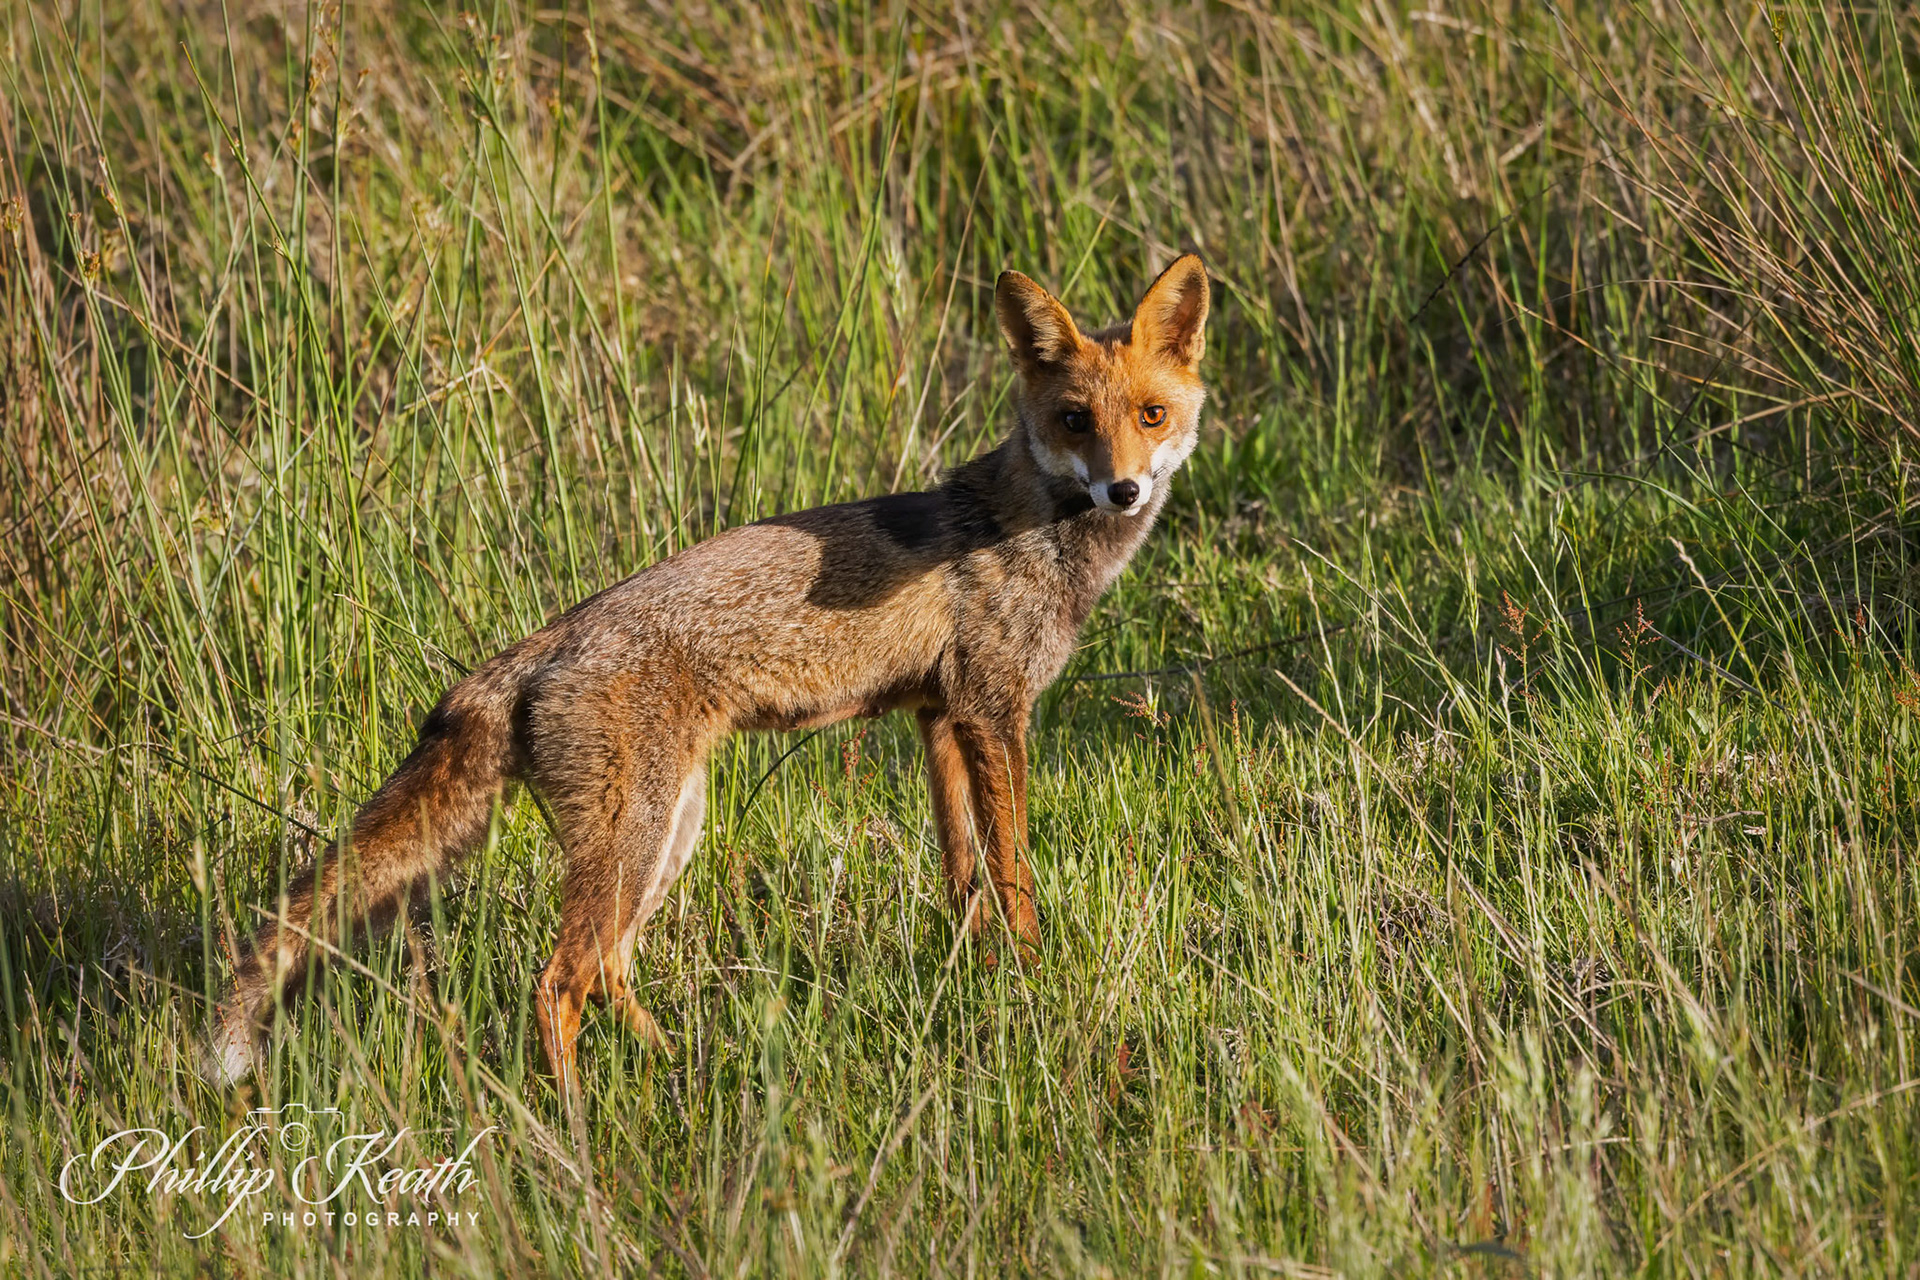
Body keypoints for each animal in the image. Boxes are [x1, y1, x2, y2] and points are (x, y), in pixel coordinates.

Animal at [208, 253, 1211, 1091]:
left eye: (1150, 416)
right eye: (1075, 421)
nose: (1123, 489)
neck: (1025, 528)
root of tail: (535, 649)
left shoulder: (940, 714)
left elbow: (965, 875)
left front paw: (979, 976)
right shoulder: (994, 710)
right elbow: (1015, 875)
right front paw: (1035, 980)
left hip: (668, 829)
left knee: (608, 967)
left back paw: (677, 1067)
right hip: (636, 837)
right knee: (558, 981)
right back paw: (576, 1133)